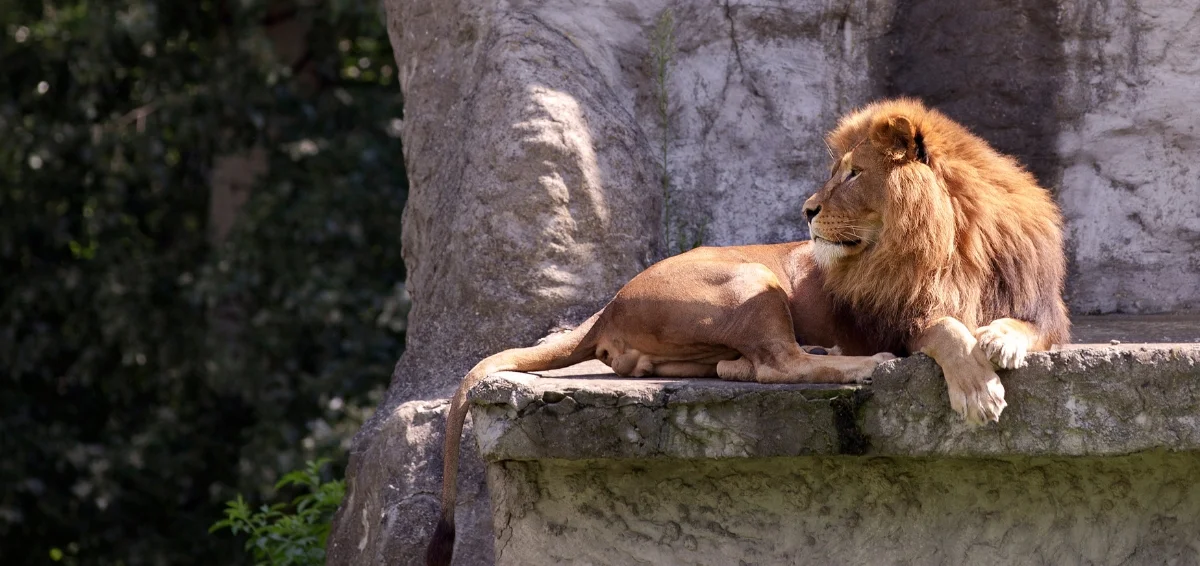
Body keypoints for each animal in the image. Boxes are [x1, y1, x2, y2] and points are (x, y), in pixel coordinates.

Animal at [429, 99, 1070, 563]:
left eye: (853, 174)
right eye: (837, 172)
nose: (807, 210)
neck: (949, 239)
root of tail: (610, 303)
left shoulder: (1041, 307)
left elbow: (1024, 327)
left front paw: (1001, 340)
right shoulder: (896, 320)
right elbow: (946, 331)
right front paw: (978, 390)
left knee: (740, 363)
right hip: (752, 275)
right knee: (778, 363)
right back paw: (864, 366)